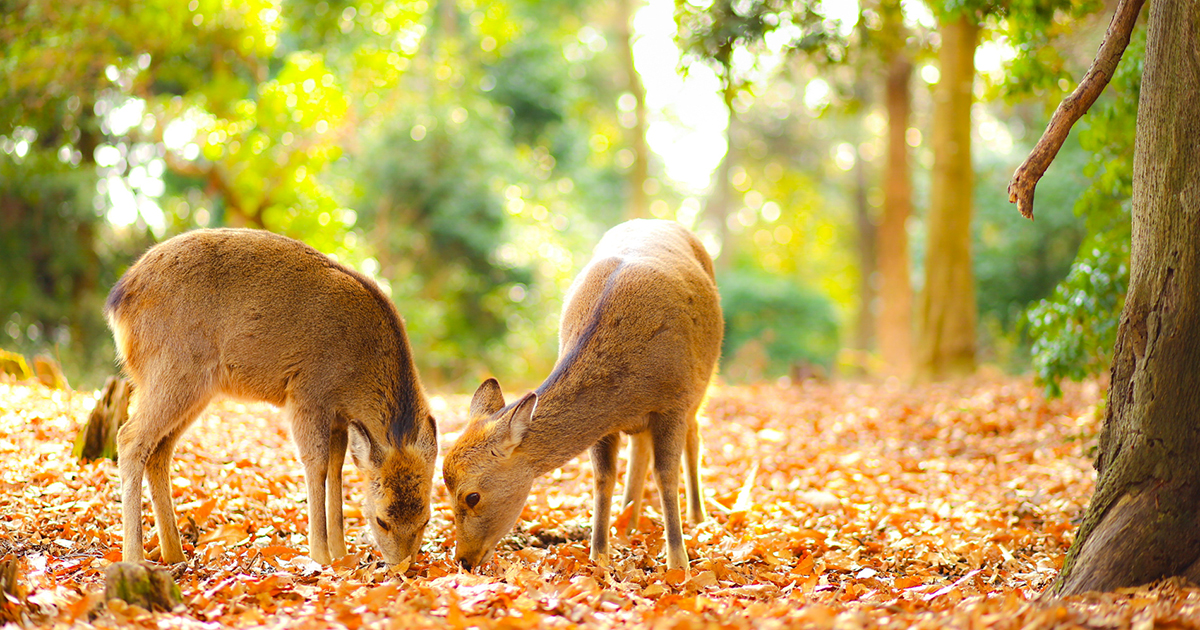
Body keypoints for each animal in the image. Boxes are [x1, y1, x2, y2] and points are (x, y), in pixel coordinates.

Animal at [105, 226, 439, 564]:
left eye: (426, 518)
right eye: (382, 520)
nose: (403, 566)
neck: (354, 378)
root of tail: (118, 301)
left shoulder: (339, 417)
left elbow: (336, 468)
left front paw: (341, 554)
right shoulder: (307, 392)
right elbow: (316, 463)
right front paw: (321, 556)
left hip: (192, 388)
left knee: (159, 450)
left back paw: (175, 555)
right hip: (172, 369)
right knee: (129, 438)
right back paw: (134, 557)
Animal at [441, 218, 720, 571]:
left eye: (472, 496)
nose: (463, 559)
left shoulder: (673, 402)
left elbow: (666, 475)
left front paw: (678, 563)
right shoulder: (605, 427)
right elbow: (603, 478)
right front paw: (599, 556)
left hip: (702, 383)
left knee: (694, 437)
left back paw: (697, 517)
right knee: (640, 447)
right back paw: (628, 522)